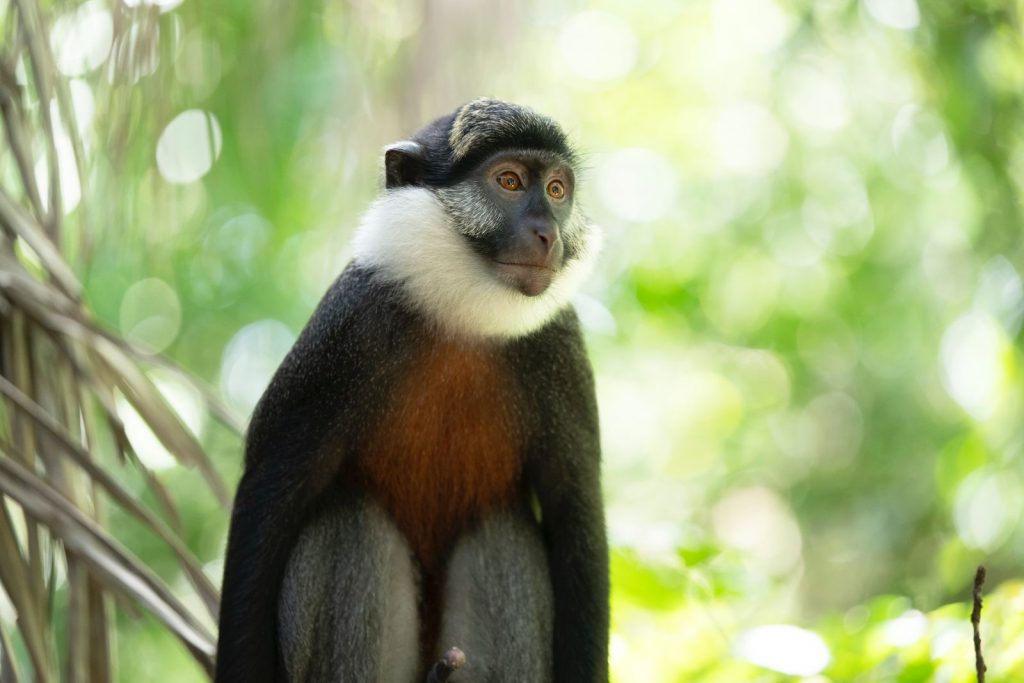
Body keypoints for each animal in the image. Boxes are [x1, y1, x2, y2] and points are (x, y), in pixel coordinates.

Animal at [214, 98, 608, 683]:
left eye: (557, 190)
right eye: (509, 181)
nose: (546, 233)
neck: (462, 314)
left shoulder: (560, 350)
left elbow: (574, 510)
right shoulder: (345, 330)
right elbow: (267, 497)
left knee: (502, 534)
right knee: (350, 521)